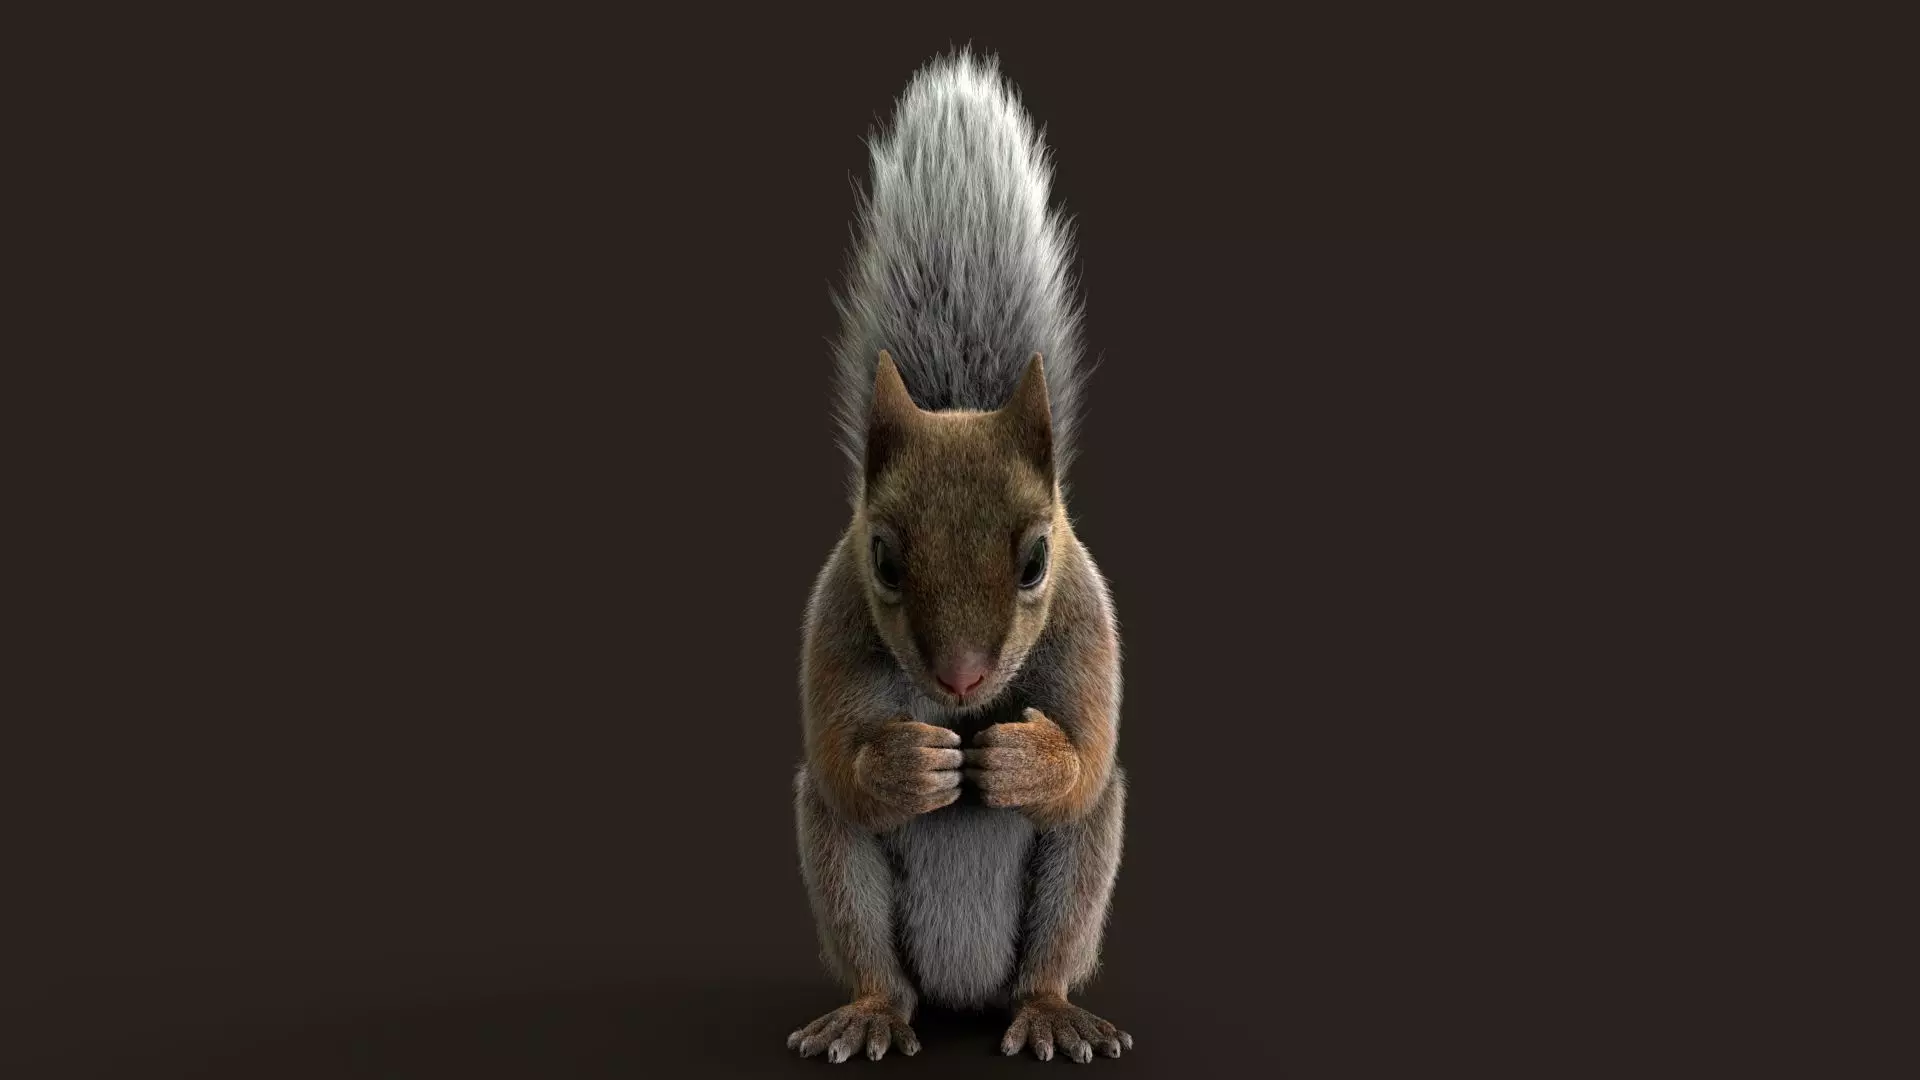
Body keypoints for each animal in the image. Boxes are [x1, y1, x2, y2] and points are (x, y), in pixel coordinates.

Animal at [787, 52, 1130, 1064]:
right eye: (884, 559)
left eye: (1036, 560)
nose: (963, 678)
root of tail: (962, 991)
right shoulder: (831, 626)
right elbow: (835, 758)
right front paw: (906, 767)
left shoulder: (1089, 626)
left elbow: (1089, 755)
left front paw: (1028, 763)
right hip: (842, 872)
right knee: (871, 938)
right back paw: (869, 1012)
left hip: (1078, 877)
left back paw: (1052, 1011)